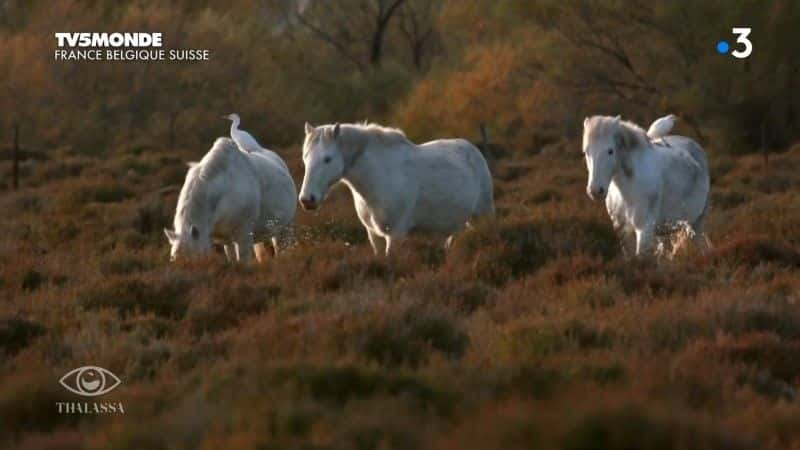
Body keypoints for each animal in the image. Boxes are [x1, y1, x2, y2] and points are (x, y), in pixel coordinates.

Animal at [298, 123, 494, 255]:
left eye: (327, 159)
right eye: (305, 158)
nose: (307, 200)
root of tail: (473, 149)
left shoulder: (395, 235)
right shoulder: (374, 235)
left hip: (482, 215)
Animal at [584, 115, 708, 256]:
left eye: (610, 151)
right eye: (586, 151)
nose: (595, 191)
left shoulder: (644, 230)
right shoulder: (623, 231)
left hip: (697, 225)